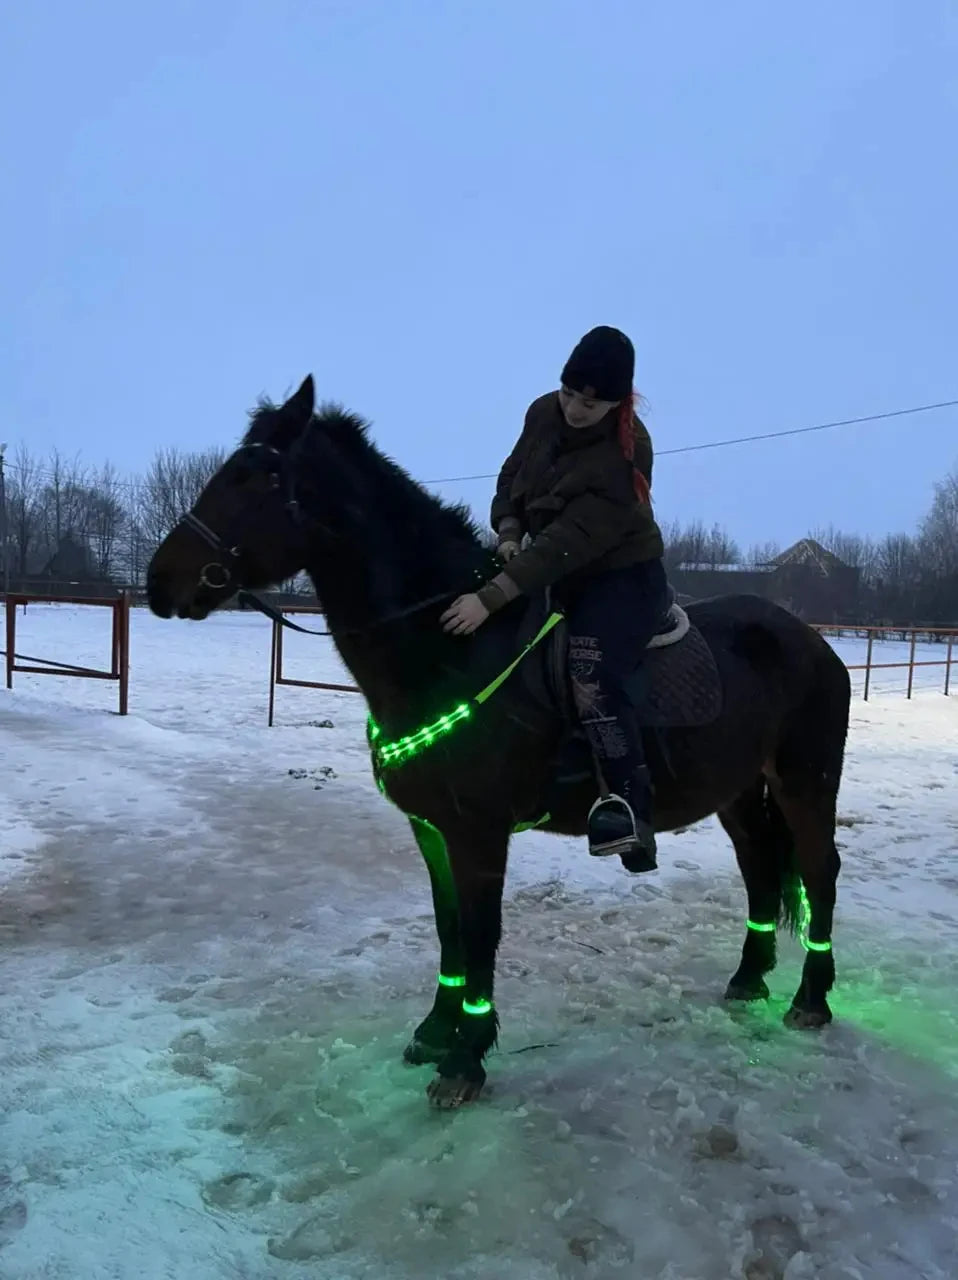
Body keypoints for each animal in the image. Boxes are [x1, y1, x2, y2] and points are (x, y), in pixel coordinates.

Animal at [146, 375, 850, 1109]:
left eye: (258, 477)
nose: (158, 582)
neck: (449, 645)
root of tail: (810, 640)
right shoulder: (433, 829)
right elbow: (450, 928)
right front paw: (435, 1033)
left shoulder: (479, 832)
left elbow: (482, 934)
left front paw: (466, 1059)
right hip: (737, 791)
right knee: (761, 865)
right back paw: (749, 979)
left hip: (805, 781)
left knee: (819, 870)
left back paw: (811, 1000)